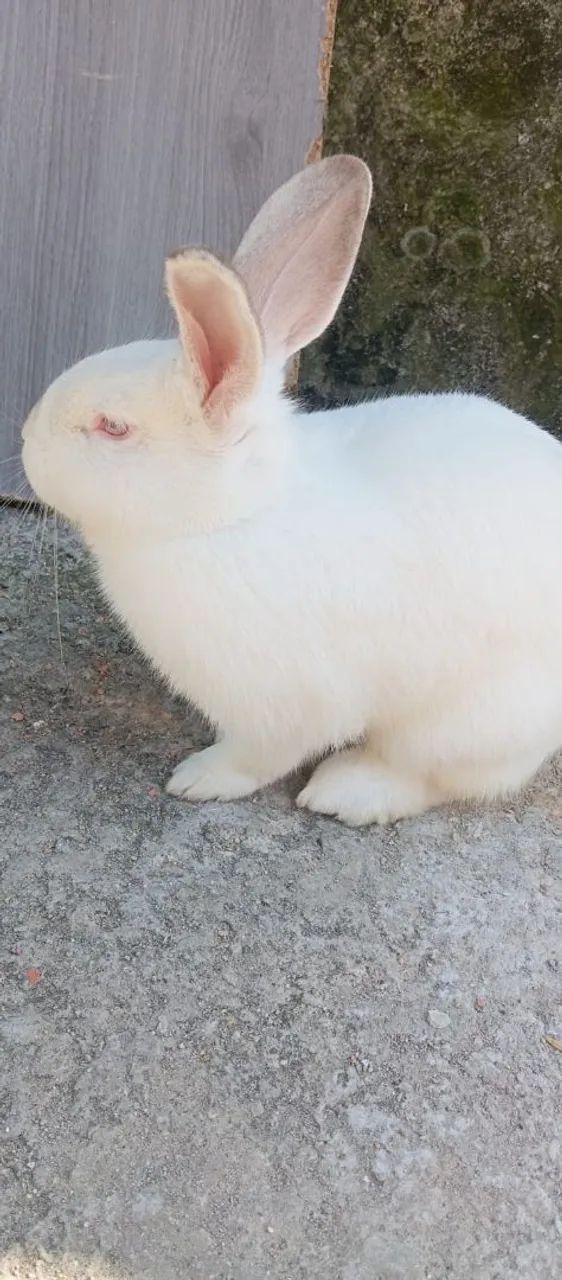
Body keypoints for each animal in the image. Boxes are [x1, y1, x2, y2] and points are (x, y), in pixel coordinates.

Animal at [22, 155, 562, 826]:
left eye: (112, 427)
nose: (24, 441)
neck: (232, 517)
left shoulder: (282, 702)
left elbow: (259, 755)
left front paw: (199, 779)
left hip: (465, 720)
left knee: (444, 776)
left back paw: (347, 792)